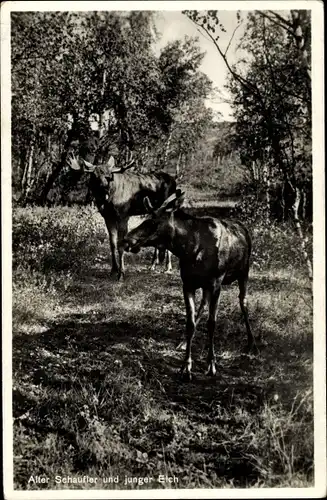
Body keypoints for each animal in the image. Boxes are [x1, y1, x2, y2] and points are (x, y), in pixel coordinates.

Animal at [123, 190, 258, 378]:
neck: (191, 249)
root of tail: (244, 229)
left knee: (243, 302)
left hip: (243, 272)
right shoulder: (188, 283)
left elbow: (212, 323)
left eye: (153, 222)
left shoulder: (216, 283)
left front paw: (211, 364)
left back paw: (252, 342)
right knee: (203, 305)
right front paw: (186, 365)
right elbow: (190, 322)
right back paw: (182, 342)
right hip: (207, 285)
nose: (127, 240)